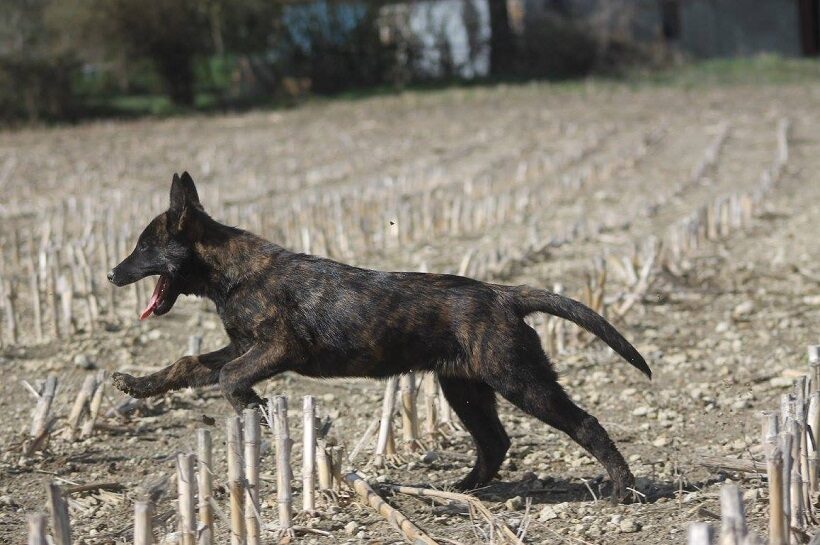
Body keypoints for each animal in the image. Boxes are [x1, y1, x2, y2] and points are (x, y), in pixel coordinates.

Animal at [109, 172, 652, 500]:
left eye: (144, 246)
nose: (112, 274)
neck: (231, 272)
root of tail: (503, 294)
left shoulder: (277, 347)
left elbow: (229, 379)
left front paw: (256, 410)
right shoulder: (241, 346)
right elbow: (189, 364)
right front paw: (137, 384)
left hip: (520, 379)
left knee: (584, 424)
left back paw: (624, 489)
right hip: (465, 388)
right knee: (495, 442)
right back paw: (462, 489)